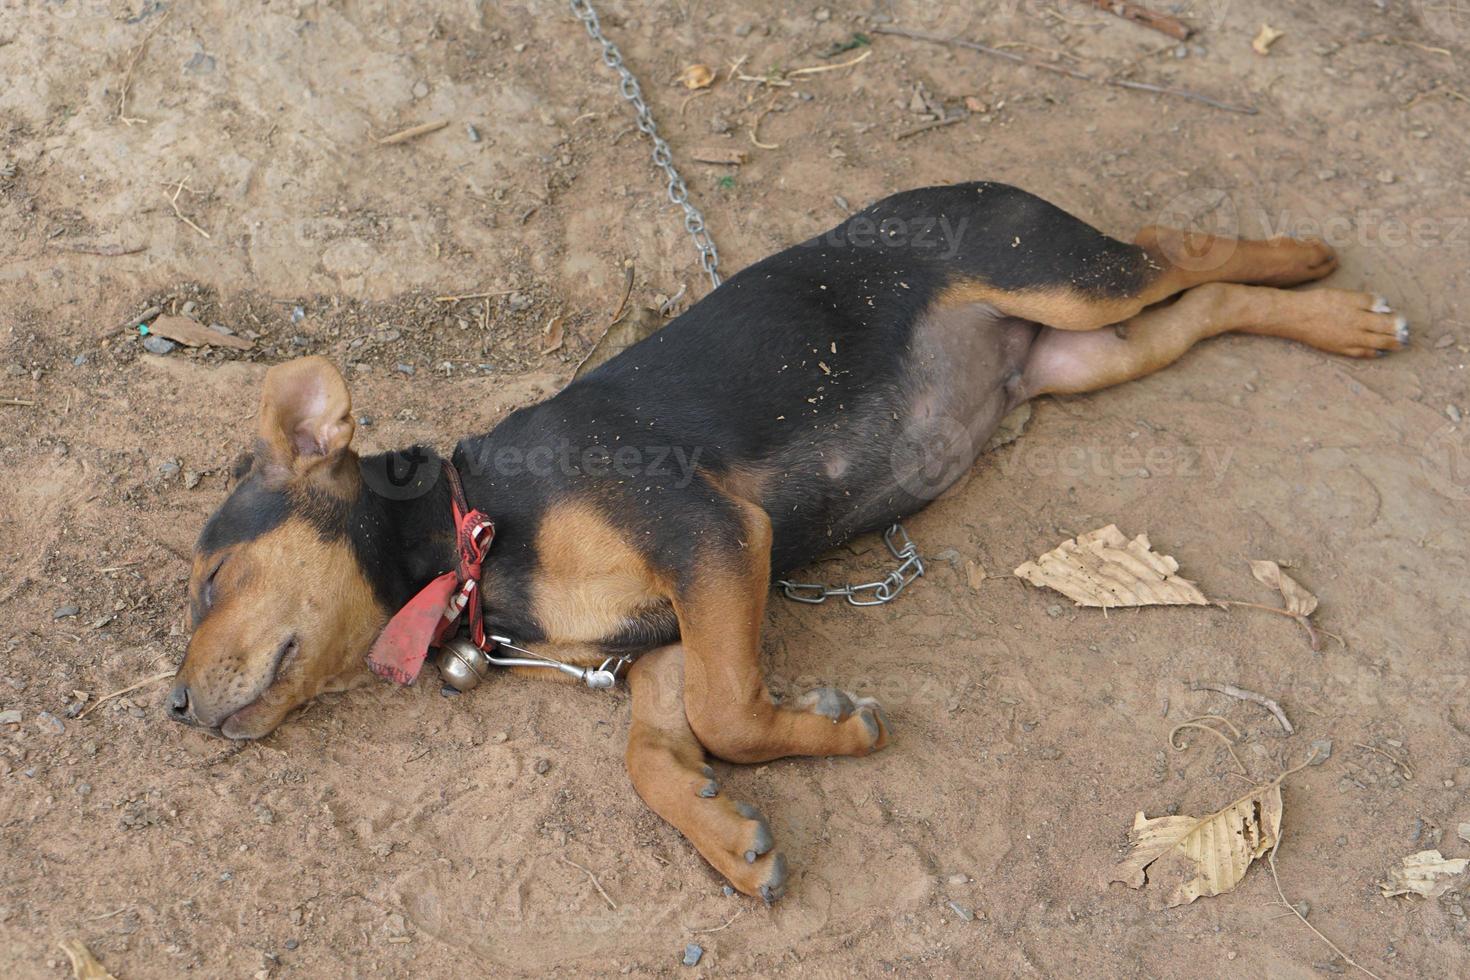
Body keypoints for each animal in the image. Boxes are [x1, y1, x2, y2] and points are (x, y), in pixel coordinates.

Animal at [166, 183, 1405, 905]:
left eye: (213, 579)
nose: (174, 709)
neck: (477, 533)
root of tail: (971, 182)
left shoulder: (711, 530)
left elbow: (731, 712)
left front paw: (835, 730)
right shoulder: (660, 645)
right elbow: (658, 753)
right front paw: (725, 837)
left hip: (1061, 275)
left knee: (1177, 242)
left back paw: (1312, 263)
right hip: (1085, 356)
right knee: (1202, 310)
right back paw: (1331, 317)